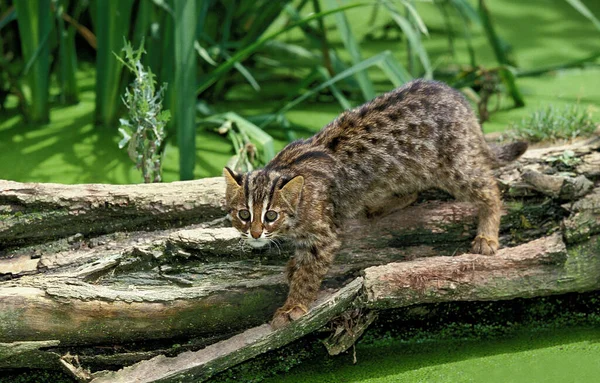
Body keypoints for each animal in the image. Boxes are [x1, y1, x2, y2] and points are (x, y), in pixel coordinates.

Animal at [223, 79, 528, 328]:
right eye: (244, 214)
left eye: (271, 215)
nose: (255, 234)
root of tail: (459, 99)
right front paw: (292, 268)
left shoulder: (325, 235)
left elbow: (309, 274)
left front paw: (293, 305)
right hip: (407, 170)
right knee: (414, 191)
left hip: (454, 168)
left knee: (490, 187)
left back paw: (487, 235)